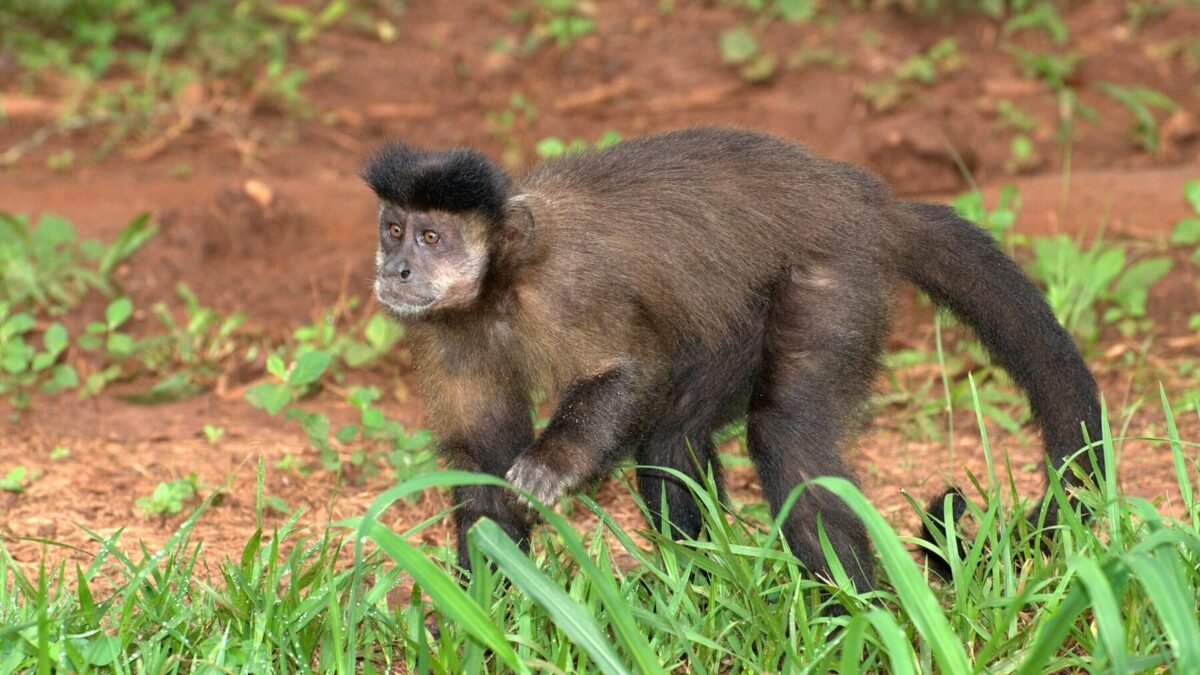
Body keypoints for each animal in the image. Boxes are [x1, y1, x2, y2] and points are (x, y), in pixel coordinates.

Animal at [362, 126, 1102, 591]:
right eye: (394, 229)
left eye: (432, 237)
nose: (396, 270)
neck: (498, 285)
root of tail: (870, 203)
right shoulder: (440, 330)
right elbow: (482, 463)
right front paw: (492, 617)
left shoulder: (569, 285)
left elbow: (631, 370)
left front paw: (552, 464)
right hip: (743, 310)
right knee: (670, 437)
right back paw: (693, 588)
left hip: (835, 273)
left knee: (783, 433)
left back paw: (855, 616)